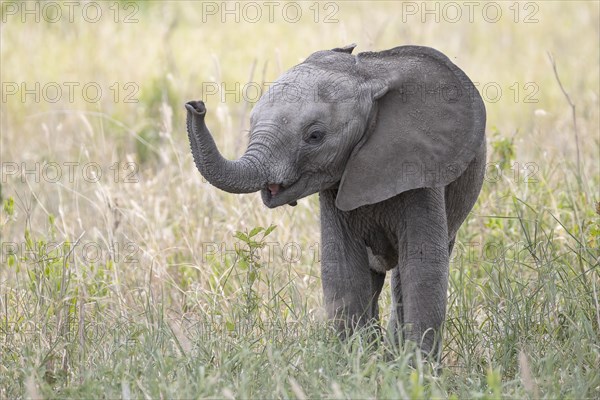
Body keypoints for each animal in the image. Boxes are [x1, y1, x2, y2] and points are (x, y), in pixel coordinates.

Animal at [188, 44, 488, 360]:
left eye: (315, 136)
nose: (196, 106)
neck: (369, 79)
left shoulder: (422, 171)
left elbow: (424, 270)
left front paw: (415, 370)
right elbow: (343, 270)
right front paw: (360, 363)